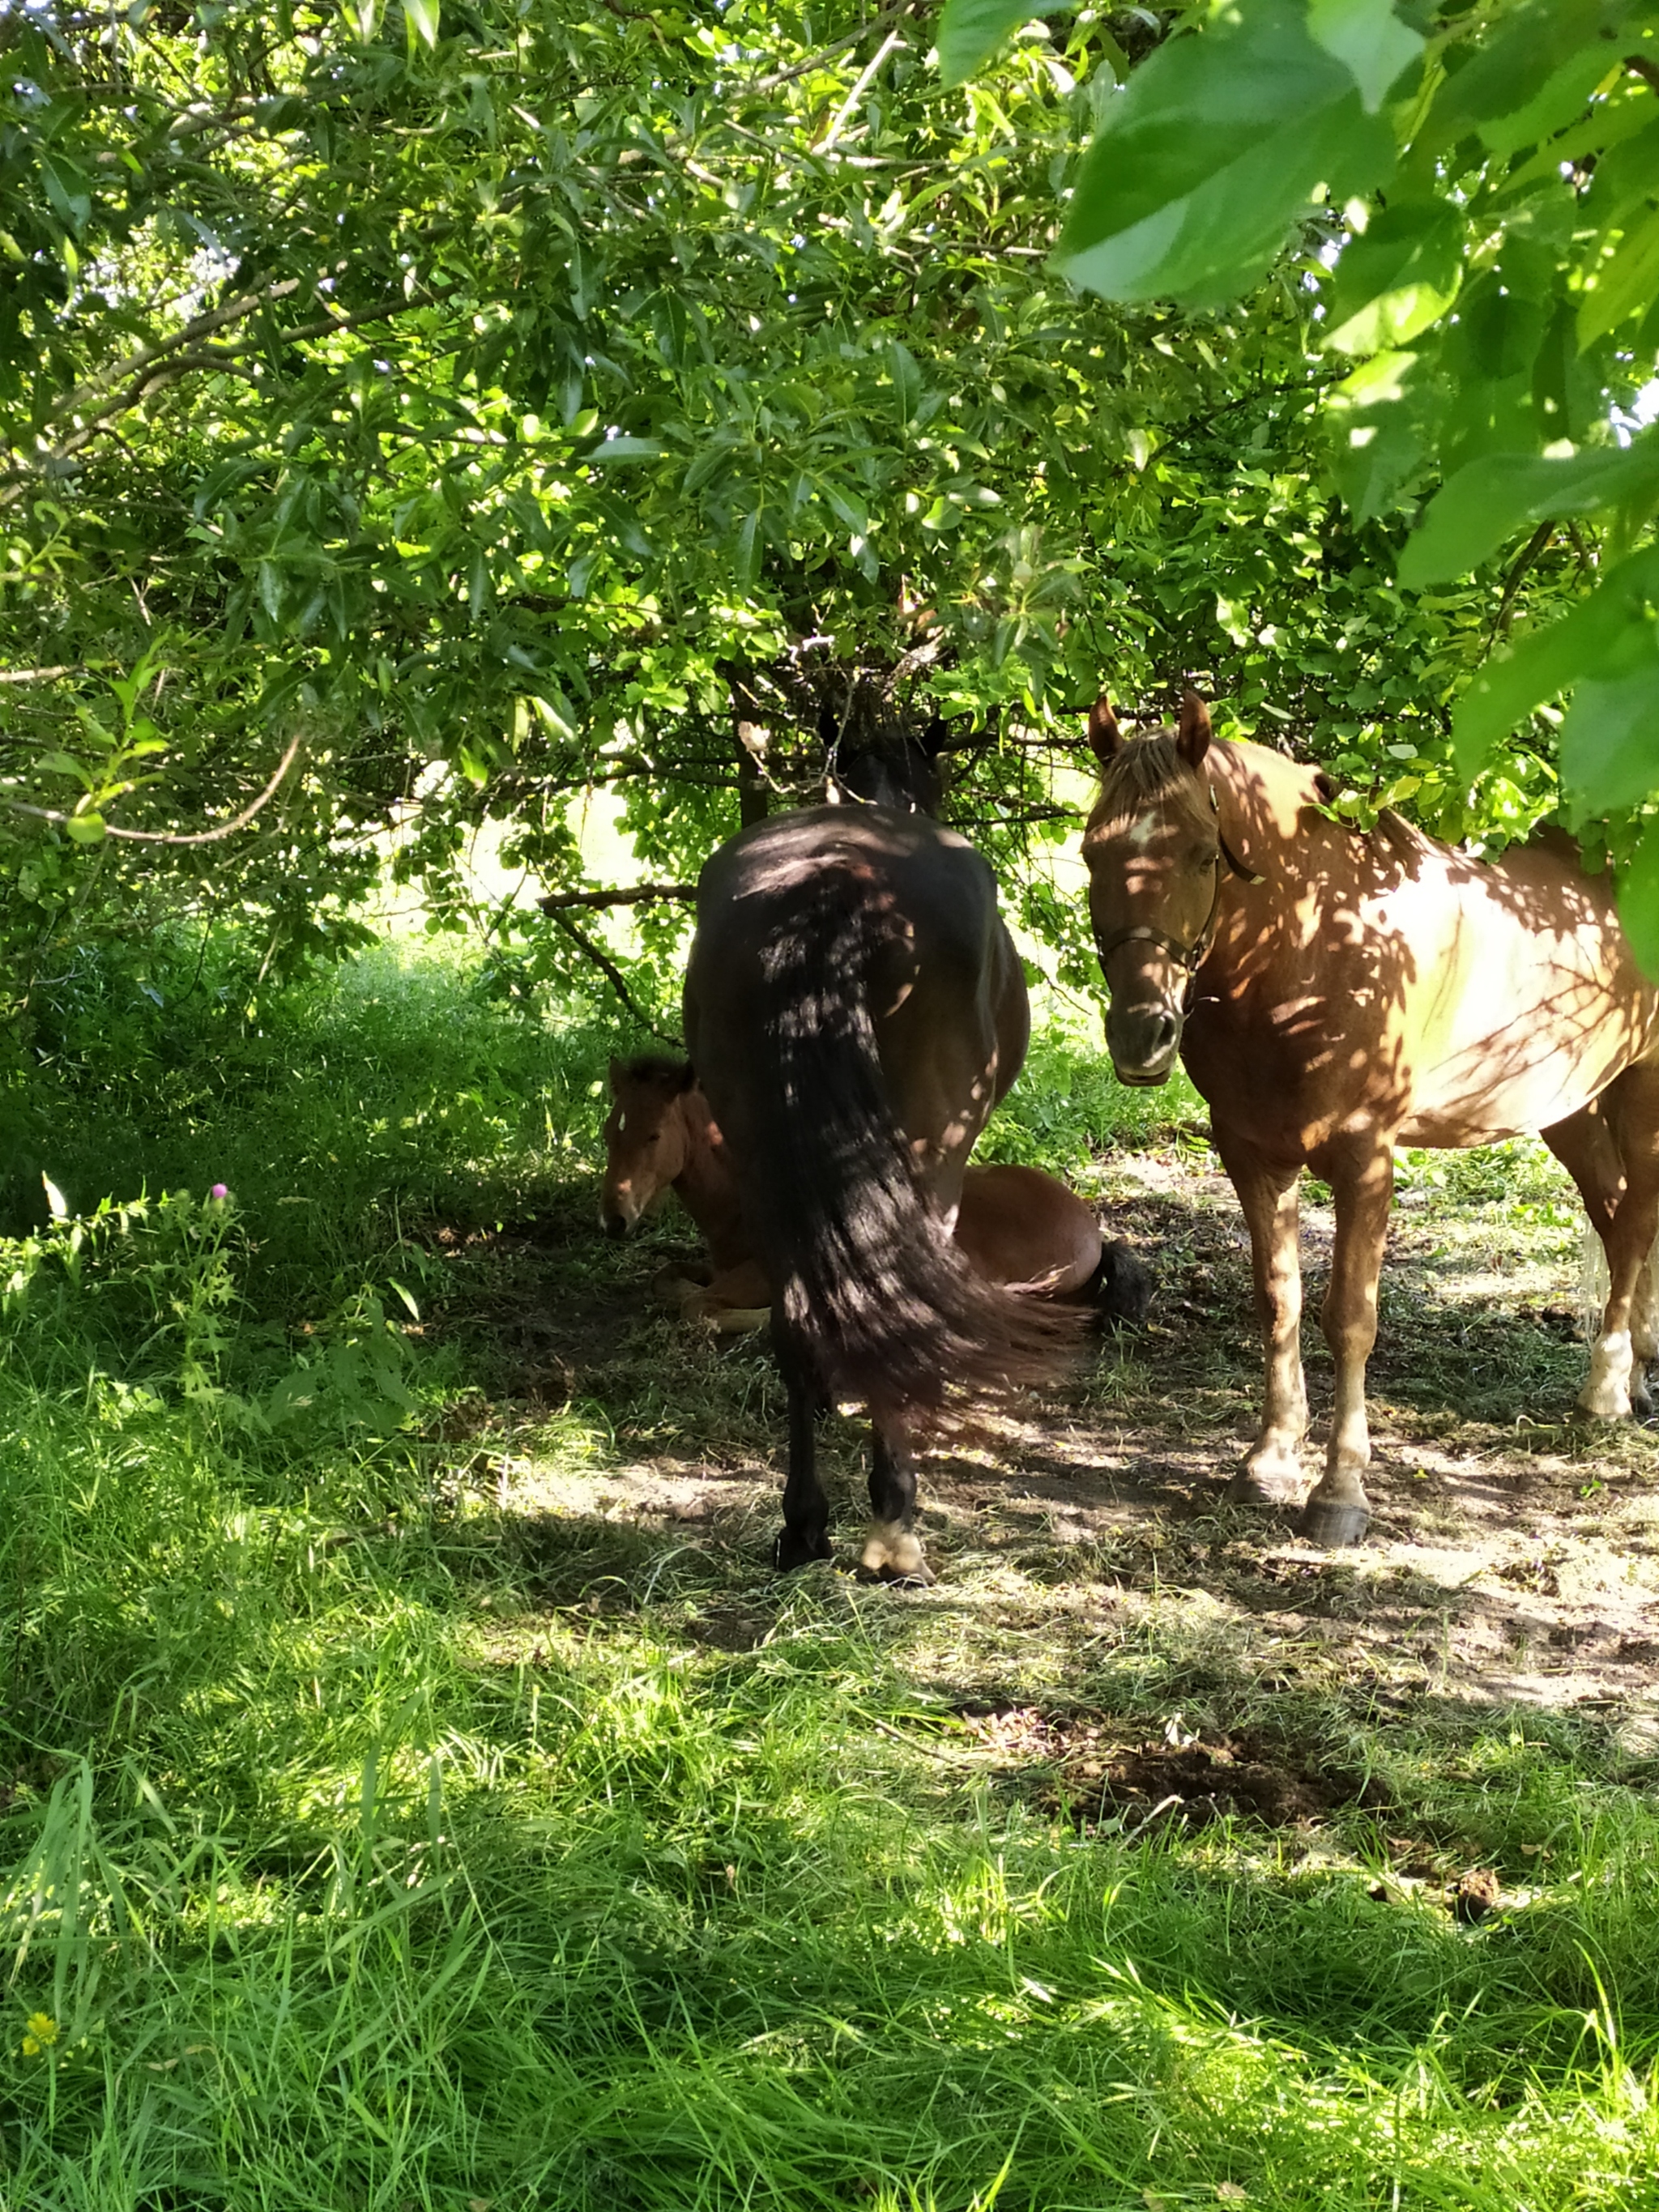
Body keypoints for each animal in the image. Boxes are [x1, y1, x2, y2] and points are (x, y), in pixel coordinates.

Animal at [601, 1052, 1158, 1327]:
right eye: (610, 1129)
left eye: (653, 1135)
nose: (614, 1219)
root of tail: (1093, 1233)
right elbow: (669, 1279)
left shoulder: (766, 1271)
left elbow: (698, 1307)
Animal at [676, 752, 1079, 1583]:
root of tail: (831, 881)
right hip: (929, 1160)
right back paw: (895, 1532)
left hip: (767, 1167)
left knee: (796, 1322)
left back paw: (803, 1527)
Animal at [1084, 685, 1659, 1539]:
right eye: (1093, 852)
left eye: (1201, 852)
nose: (1140, 1033)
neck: (1315, 946)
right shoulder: (1253, 1153)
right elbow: (1279, 1301)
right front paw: (1268, 1463)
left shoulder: (1366, 1160)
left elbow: (1350, 1317)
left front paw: (1340, 1492)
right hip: (1571, 1106)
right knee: (1620, 1219)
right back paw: (1638, 1377)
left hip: (1642, 1087)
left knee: (1638, 1218)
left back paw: (1606, 1390)